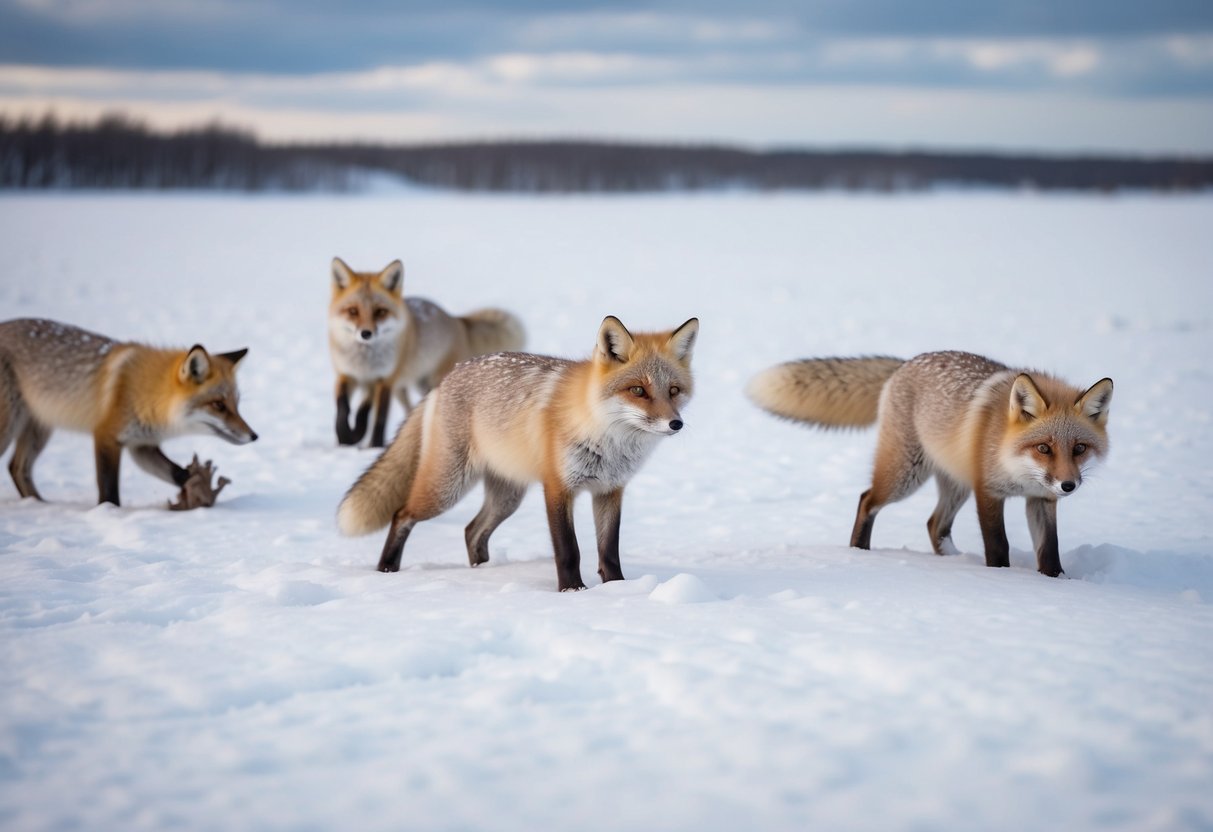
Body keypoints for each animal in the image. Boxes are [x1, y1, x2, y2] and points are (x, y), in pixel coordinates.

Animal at [0, 318, 257, 507]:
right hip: (10, 430)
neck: (149, 395)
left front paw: (196, 488)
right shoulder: (106, 437)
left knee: (16, 467)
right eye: (219, 405)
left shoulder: (141, 445)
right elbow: (109, 491)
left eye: (237, 404)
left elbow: (176, 473)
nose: (254, 436)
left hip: (40, 428)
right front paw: (108, 513)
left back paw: (39, 505)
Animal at [329, 257, 526, 448]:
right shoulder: (346, 374)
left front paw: (371, 443)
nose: (366, 333)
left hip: (429, 383)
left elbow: (376, 416)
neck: (363, 362)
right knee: (410, 408)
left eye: (380, 312)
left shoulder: (384, 380)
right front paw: (346, 436)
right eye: (353, 311)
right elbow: (342, 407)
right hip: (407, 387)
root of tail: (455, 319)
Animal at [337, 315, 699, 591]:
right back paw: (386, 570)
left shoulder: (610, 490)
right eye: (638, 390)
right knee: (402, 515)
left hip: (507, 497)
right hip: (447, 488)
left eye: (674, 391)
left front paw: (617, 589)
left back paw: (481, 571)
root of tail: (446, 378)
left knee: (472, 531)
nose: (676, 423)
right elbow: (569, 549)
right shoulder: (558, 487)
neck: (604, 437)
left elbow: (609, 550)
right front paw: (573, 591)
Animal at [747, 351, 1113, 577]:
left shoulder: (1041, 499)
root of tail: (906, 363)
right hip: (905, 476)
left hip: (955, 484)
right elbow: (998, 545)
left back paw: (953, 561)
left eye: (1079, 448)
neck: (1016, 467)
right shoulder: (988, 492)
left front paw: (1056, 582)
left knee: (934, 524)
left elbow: (1049, 550)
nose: (1069, 484)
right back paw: (860, 554)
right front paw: (1000, 578)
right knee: (867, 500)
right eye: (1044, 447)